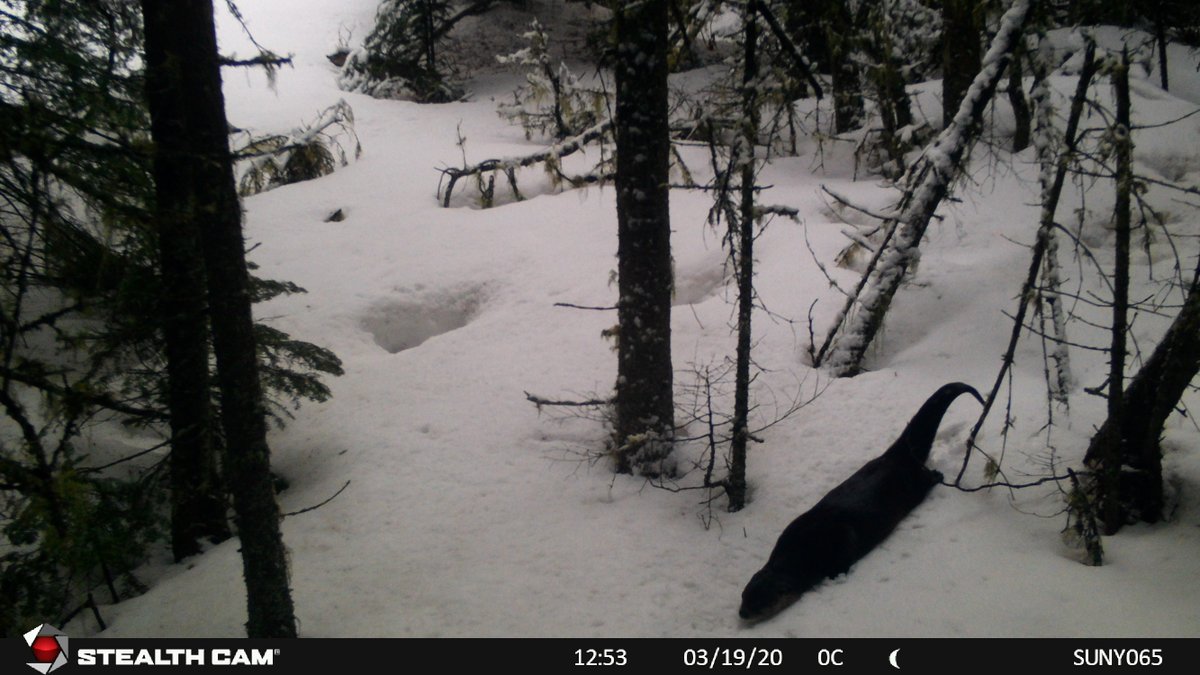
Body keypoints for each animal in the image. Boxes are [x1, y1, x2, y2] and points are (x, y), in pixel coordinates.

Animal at [738, 382, 984, 622]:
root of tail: (893, 456)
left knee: (925, 481)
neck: (802, 552)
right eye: (744, 596)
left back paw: (938, 476)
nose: (742, 613)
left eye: (759, 604)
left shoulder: (839, 538)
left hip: (911, 484)